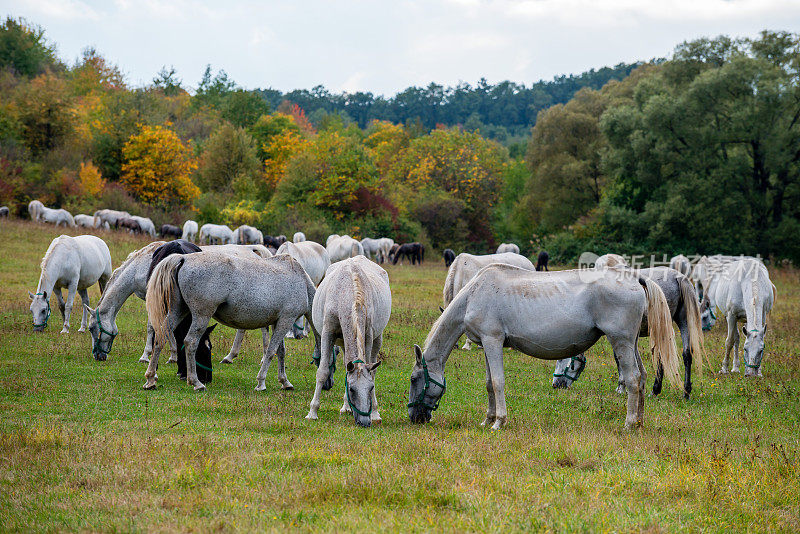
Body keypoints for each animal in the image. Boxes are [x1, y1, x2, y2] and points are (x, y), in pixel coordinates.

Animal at [145, 251, 320, 394]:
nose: (325, 385)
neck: (301, 282)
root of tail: (184, 258)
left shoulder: (277, 322)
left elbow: (280, 351)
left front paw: (285, 382)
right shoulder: (286, 320)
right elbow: (271, 352)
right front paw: (261, 383)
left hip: (178, 310)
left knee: (160, 337)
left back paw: (150, 379)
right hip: (202, 315)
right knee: (190, 342)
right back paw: (196, 383)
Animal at [304, 258, 390, 430]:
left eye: (370, 388)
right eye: (352, 389)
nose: (364, 422)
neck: (347, 294)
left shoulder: (368, 335)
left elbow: (370, 371)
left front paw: (374, 412)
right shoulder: (327, 333)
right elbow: (322, 372)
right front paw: (312, 412)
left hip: (377, 338)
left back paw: (369, 412)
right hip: (343, 341)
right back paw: (345, 407)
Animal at [406, 266, 680, 432]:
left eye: (413, 379)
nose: (414, 418)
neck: (475, 292)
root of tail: (635, 278)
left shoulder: (493, 341)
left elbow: (497, 381)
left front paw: (499, 422)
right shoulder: (485, 344)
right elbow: (488, 383)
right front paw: (488, 419)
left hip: (620, 341)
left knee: (632, 379)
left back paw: (629, 423)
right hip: (629, 344)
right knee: (642, 377)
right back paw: (639, 422)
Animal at [552, 268, 704, 402]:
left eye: (562, 360)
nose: (556, 385)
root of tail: (678, 277)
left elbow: (618, 360)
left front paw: (621, 387)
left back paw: (656, 390)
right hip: (683, 321)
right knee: (687, 354)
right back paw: (685, 392)